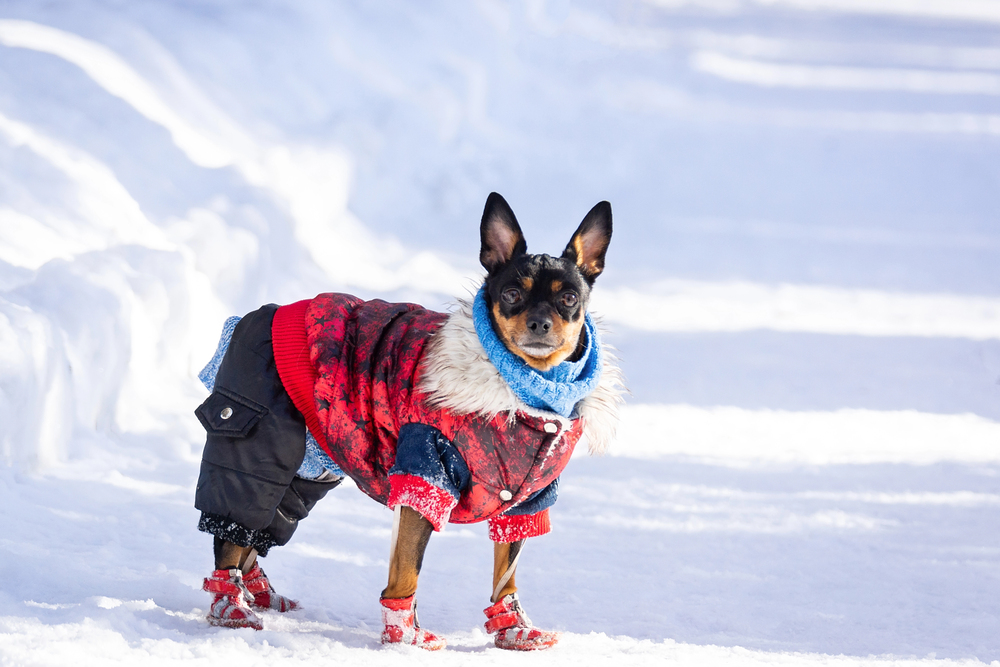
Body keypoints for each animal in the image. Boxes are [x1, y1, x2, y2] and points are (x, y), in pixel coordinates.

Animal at [191, 193, 620, 652]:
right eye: (510, 293)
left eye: (569, 298)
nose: (540, 322)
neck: (524, 392)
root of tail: (262, 314)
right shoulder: (425, 477)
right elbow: (406, 567)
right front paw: (404, 635)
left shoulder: (524, 501)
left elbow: (505, 573)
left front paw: (511, 629)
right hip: (255, 441)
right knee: (233, 528)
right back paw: (229, 604)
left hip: (309, 469)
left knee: (261, 528)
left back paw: (258, 591)